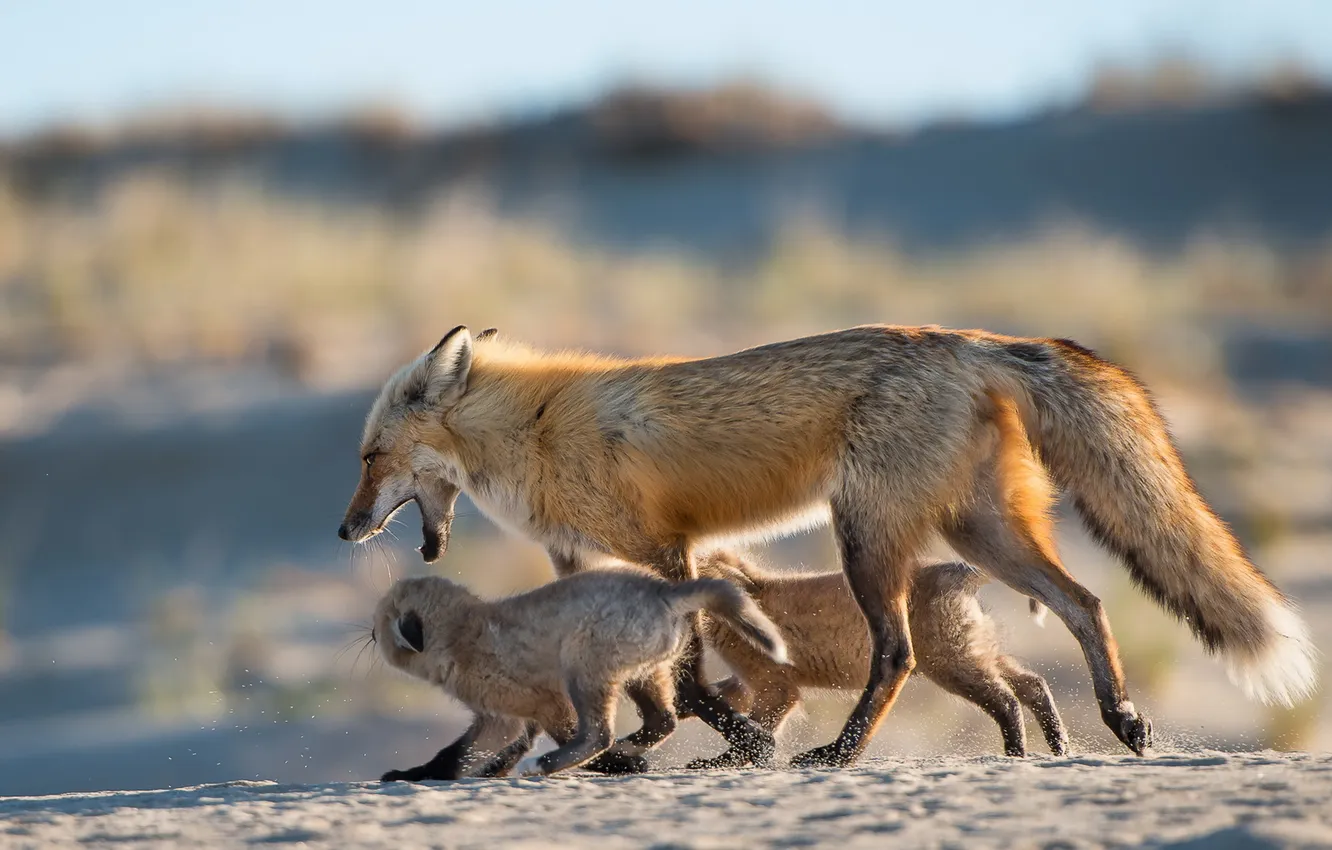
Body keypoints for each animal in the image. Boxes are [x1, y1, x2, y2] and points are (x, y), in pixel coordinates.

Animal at [371, 569, 787, 780]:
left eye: (380, 622)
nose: (369, 635)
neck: (466, 634)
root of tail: (664, 592)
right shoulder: (511, 718)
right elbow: (462, 755)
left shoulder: (531, 708)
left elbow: (458, 757)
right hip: (644, 674)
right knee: (663, 721)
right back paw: (629, 750)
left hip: (584, 670)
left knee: (600, 735)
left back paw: (556, 764)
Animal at [694, 550, 1069, 761]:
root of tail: (957, 568)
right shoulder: (748, 684)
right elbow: (718, 706)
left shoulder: (776, 689)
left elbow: (754, 734)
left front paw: (716, 763)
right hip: (975, 653)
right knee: (1033, 684)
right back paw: (1059, 745)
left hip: (951, 665)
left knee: (1007, 701)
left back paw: (1016, 753)